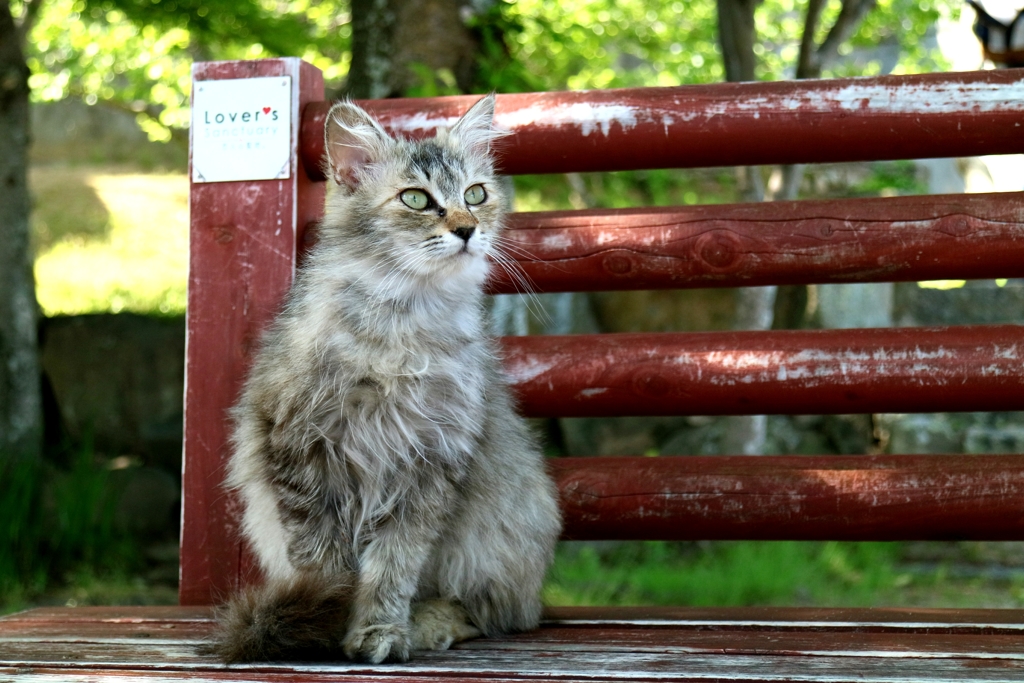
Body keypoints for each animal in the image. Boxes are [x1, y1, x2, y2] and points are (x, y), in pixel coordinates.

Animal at [214, 93, 561, 663]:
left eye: (476, 194)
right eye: (417, 200)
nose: (467, 229)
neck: (402, 328)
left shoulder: (430, 463)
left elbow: (392, 568)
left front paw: (380, 631)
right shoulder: (302, 451)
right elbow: (324, 566)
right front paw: (324, 624)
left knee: (492, 614)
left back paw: (428, 624)